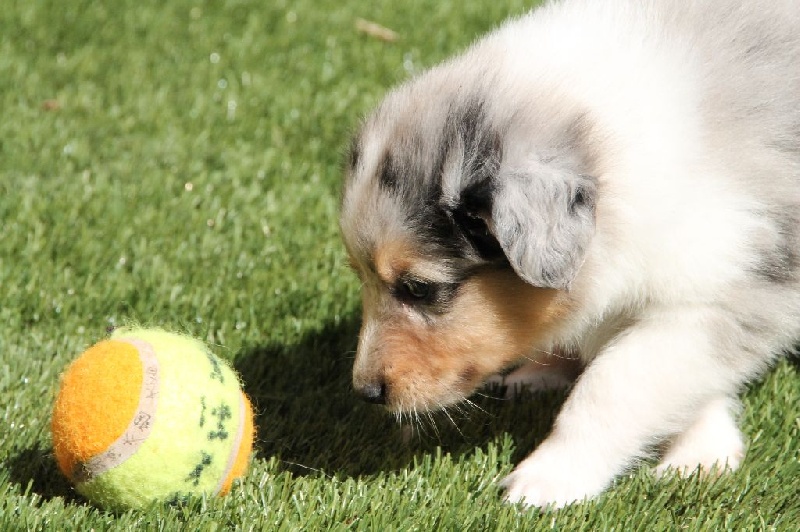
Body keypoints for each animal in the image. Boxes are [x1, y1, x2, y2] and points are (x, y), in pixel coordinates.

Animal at [339, 0, 800, 508]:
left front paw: (548, 479)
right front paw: (702, 451)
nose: (365, 392)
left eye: (419, 289)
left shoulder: (716, 295)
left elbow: (615, 382)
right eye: (360, 277)